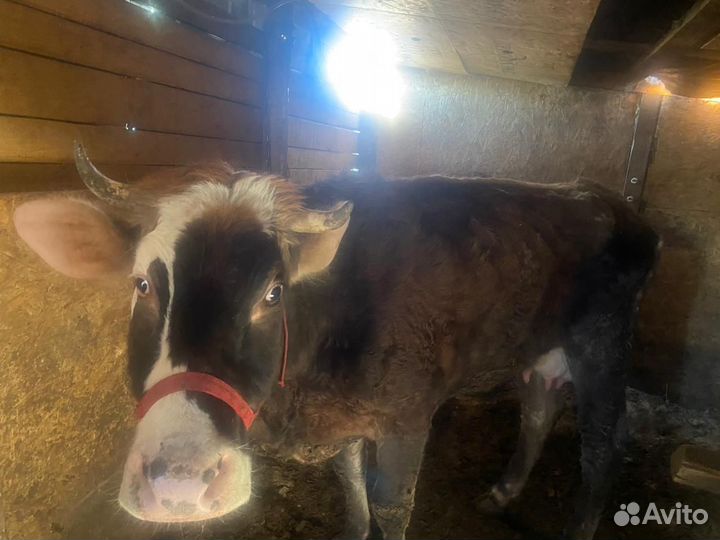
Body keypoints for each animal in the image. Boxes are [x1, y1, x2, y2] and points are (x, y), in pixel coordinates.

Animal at [13, 144, 659, 540]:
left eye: (274, 293)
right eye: (142, 283)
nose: (180, 480)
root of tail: (603, 197)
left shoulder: (406, 421)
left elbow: (391, 505)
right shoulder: (341, 423)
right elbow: (351, 487)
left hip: (603, 340)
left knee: (603, 444)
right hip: (540, 348)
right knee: (539, 411)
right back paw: (500, 494)